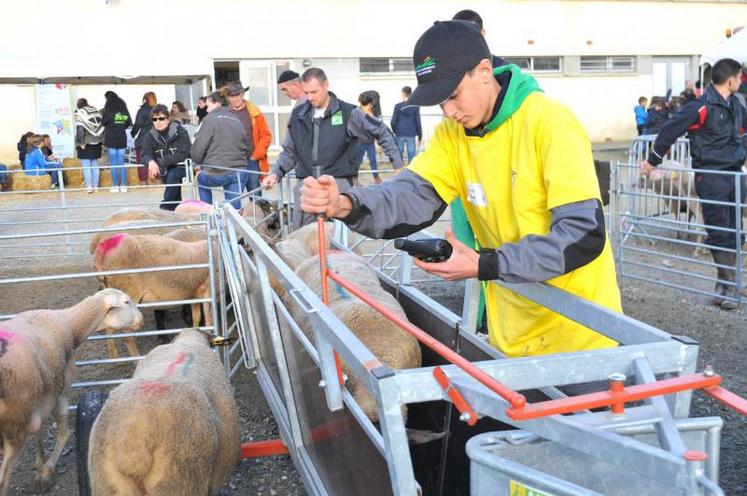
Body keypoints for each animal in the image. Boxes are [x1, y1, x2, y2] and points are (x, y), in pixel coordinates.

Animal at [0, 288, 143, 494]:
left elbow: (39, 431)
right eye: (126, 302)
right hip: (14, 424)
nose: (141, 320)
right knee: (3, 478)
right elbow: (64, 433)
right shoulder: (59, 392)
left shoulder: (41, 399)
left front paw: (40, 464)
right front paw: (46, 471)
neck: (70, 325)